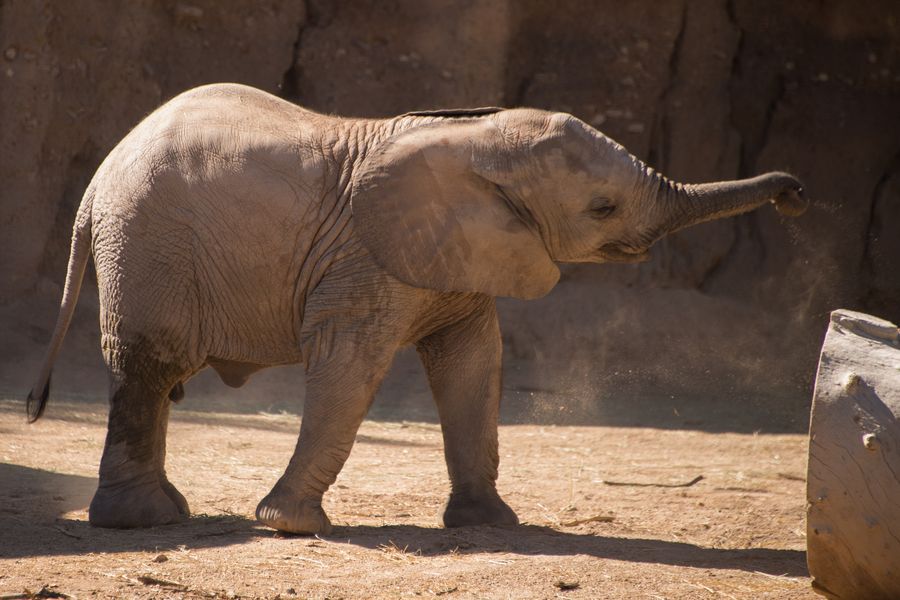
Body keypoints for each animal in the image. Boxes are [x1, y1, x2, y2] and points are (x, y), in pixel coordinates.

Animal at [26, 81, 808, 536]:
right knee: (150, 367)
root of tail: (98, 180)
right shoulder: (365, 258)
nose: (796, 193)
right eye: (603, 207)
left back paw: (165, 514)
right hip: (149, 244)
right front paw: (289, 525)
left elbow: (474, 364)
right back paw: (146, 524)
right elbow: (351, 364)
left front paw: (490, 526)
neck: (472, 141)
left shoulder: (459, 254)